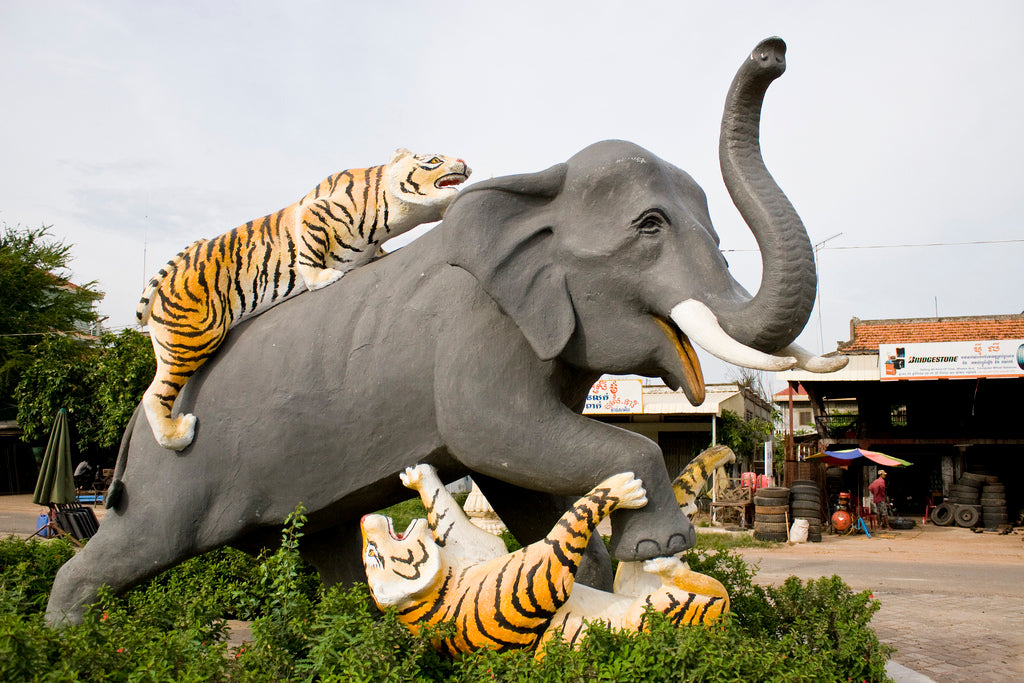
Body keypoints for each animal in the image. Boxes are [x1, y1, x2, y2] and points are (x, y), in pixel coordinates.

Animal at [137, 150, 471, 450]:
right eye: (434, 160)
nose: (465, 163)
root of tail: (171, 273)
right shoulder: (315, 212)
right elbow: (309, 252)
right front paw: (322, 278)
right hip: (192, 338)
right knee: (153, 395)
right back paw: (179, 434)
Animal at [360, 464, 729, 655]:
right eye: (372, 555)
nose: (364, 520)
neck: (446, 582)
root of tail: (720, 629)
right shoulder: (540, 572)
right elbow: (571, 520)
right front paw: (622, 488)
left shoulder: (477, 550)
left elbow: (446, 516)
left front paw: (417, 476)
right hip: (657, 612)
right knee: (713, 589)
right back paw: (667, 563)